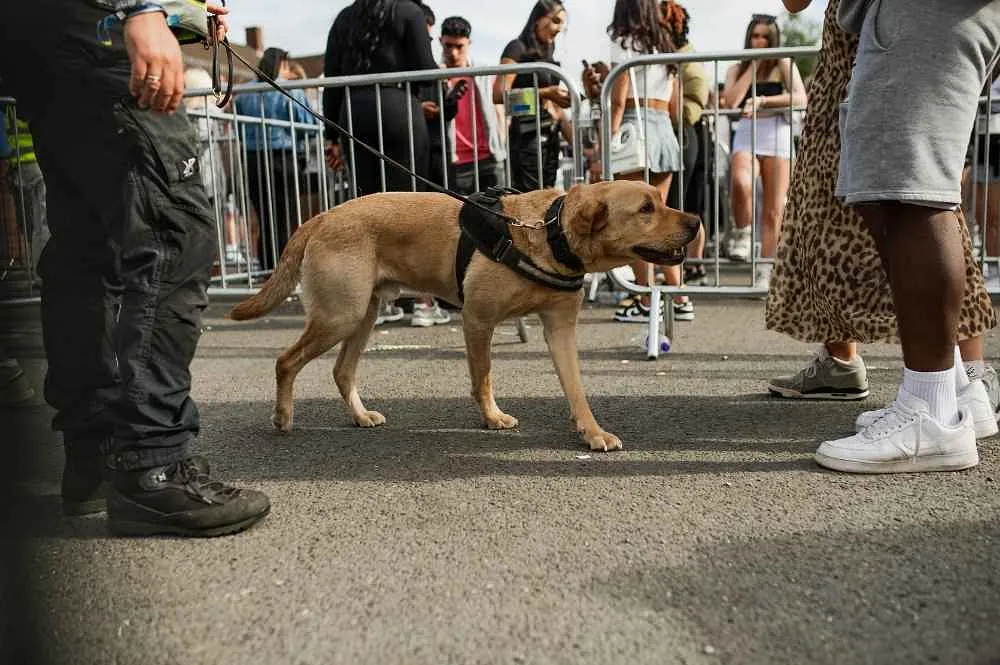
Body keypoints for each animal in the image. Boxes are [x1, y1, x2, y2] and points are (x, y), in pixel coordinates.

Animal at [229, 180, 700, 452]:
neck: (548, 233)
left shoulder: (560, 328)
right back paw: (283, 417)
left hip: (362, 313)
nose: (696, 221)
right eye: (645, 208)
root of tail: (323, 216)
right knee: (286, 361)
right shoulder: (478, 321)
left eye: (661, 200)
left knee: (342, 371)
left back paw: (360, 417)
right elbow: (483, 378)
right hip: (339, 316)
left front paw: (591, 431)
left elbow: (577, 389)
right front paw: (492, 418)